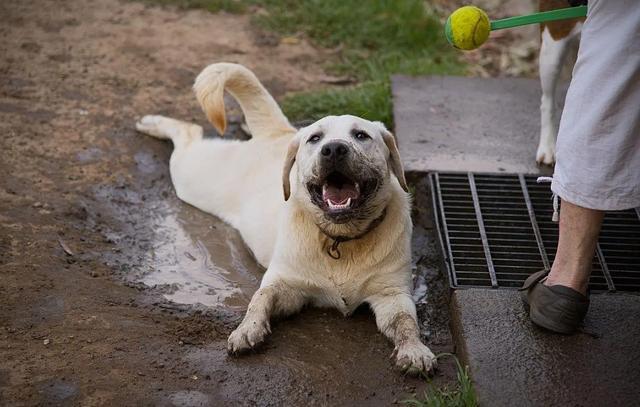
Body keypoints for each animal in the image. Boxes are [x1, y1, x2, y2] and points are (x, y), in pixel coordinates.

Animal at [134, 63, 436, 372]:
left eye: (361, 135)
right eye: (316, 138)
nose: (334, 149)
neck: (340, 240)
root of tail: (277, 132)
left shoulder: (393, 294)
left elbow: (406, 323)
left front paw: (414, 350)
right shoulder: (286, 283)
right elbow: (259, 298)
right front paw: (247, 329)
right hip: (192, 175)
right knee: (189, 131)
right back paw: (153, 123)